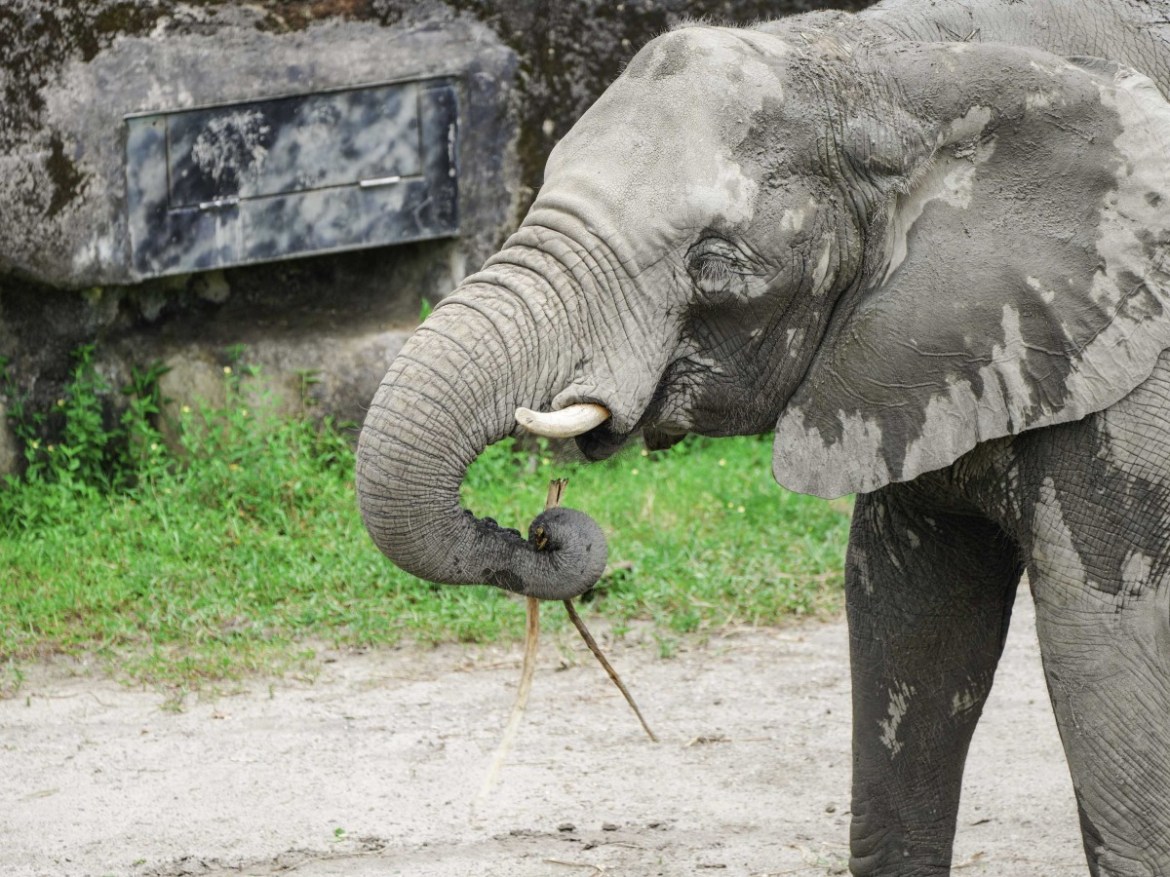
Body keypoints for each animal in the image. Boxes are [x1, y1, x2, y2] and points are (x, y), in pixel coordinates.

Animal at [355, 0, 1170, 873]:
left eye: (712, 262)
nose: (541, 529)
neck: (901, 64)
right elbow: (908, 623)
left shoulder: (1134, 391)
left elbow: (1103, 653)